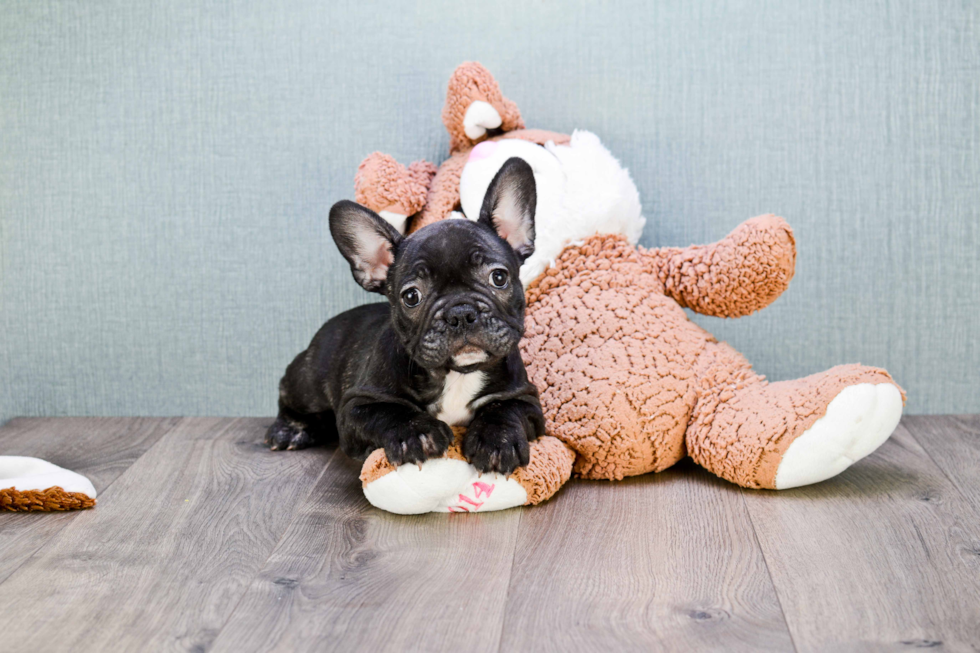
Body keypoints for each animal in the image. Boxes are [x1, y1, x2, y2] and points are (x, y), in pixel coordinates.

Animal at [264, 158, 548, 474]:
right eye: (412, 297)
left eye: (499, 277)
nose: (461, 312)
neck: (456, 374)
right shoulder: (356, 406)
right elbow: (389, 413)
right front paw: (417, 434)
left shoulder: (525, 398)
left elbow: (505, 410)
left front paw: (497, 441)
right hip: (308, 381)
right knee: (287, 394)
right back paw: (289, 429)